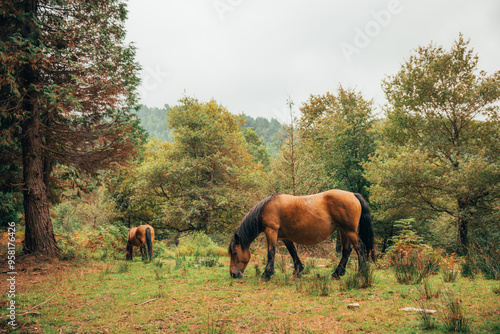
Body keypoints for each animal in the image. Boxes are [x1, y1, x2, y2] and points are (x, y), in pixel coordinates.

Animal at [229, 189, 374, 280]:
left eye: (235, 253)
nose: (233, 274)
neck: (267, 207)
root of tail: (353, 194)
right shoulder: (284, 236)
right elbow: (293, 251)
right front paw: (298, 270)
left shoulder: (271, 231)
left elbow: (271, 252)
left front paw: (266, 274)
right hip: (343, 230)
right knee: (347, 250)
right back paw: (337, 273)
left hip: (349, 230)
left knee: (359, 247)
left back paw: (362, 272)